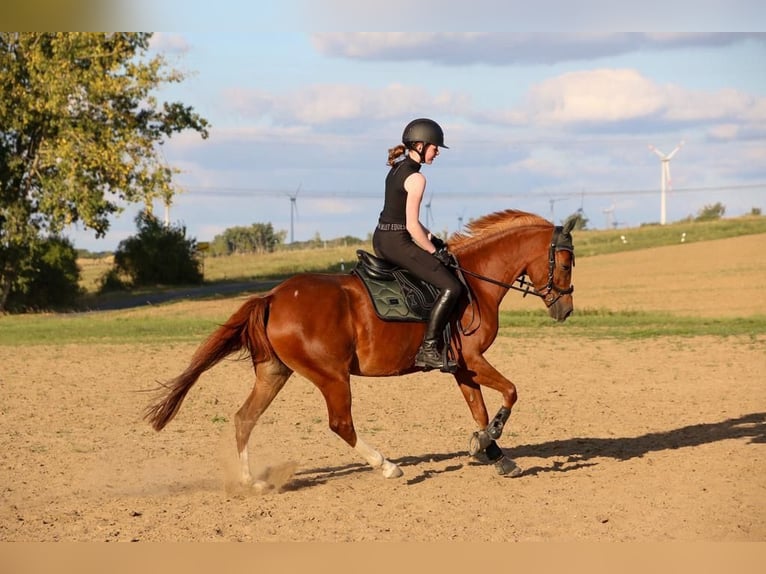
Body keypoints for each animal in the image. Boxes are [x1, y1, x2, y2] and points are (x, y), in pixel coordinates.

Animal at [144, 209, 577, 489]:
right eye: (566, 264)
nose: (566, 310)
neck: (475, 282)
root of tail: (273, 296)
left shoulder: (461, 367)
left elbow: (479, 409)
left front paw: (494, 453)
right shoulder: (472, 359)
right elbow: (510, 392)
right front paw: (489, 441)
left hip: (274, 372)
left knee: (244, 418)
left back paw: (252, 482)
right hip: (331, 375)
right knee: (340, 423)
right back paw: (387, 467)